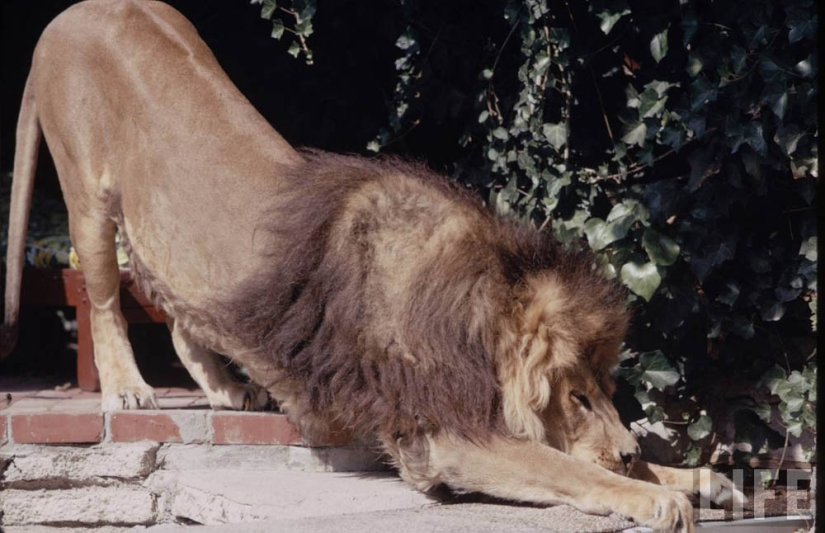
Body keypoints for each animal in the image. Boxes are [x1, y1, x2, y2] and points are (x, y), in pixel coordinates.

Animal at [2, 1, 745, 531]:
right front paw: (654, 493)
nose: (629, 449)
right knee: (105, 301)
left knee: (185, 317)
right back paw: (129, 390)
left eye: (608, 387)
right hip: (87, 200)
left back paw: (228, 392)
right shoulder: (443, 435)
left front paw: (690, 477)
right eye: (578, 396)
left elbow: (578, 458)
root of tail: (71, 14)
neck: (472, 311)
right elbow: (566, 467)